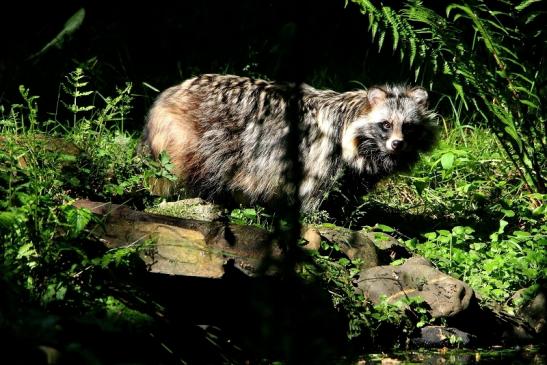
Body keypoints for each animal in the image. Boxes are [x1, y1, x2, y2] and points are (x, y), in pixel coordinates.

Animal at [143, 74, 438, 210]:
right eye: (385, 124)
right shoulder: (324, 156)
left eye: (408, 127)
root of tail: (170, 94)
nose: (397, 145)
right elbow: (314, 197)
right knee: (190, 173)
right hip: (195, 140)